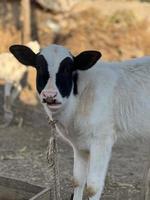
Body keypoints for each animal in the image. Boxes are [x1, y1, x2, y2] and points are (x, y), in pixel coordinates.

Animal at [9, 44, 150, 200]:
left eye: (68, 68)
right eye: (39, 67)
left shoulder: (102, 140)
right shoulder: (79, 145)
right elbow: (77, 181)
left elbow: (93, 187)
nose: (50, 96)